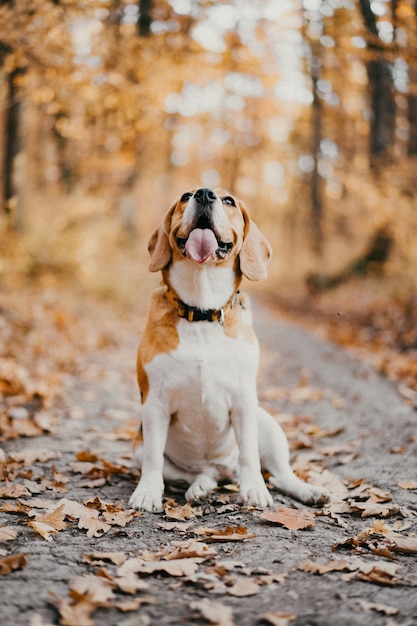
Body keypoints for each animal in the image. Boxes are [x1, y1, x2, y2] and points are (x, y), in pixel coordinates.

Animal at [128, 188, 330, 510]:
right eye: (185, 196)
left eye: (229, 201)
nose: (203, 193)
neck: (201, 311)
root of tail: (223, 469)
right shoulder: (154, 405)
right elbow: (153, 459)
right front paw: (147, 492)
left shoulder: (244, 401)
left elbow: (249, 455)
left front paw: (255, 490)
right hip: (142, 446)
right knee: (198, 473)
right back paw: (201, 486)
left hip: (267, 423)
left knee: (281, 474)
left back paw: (307, 490)